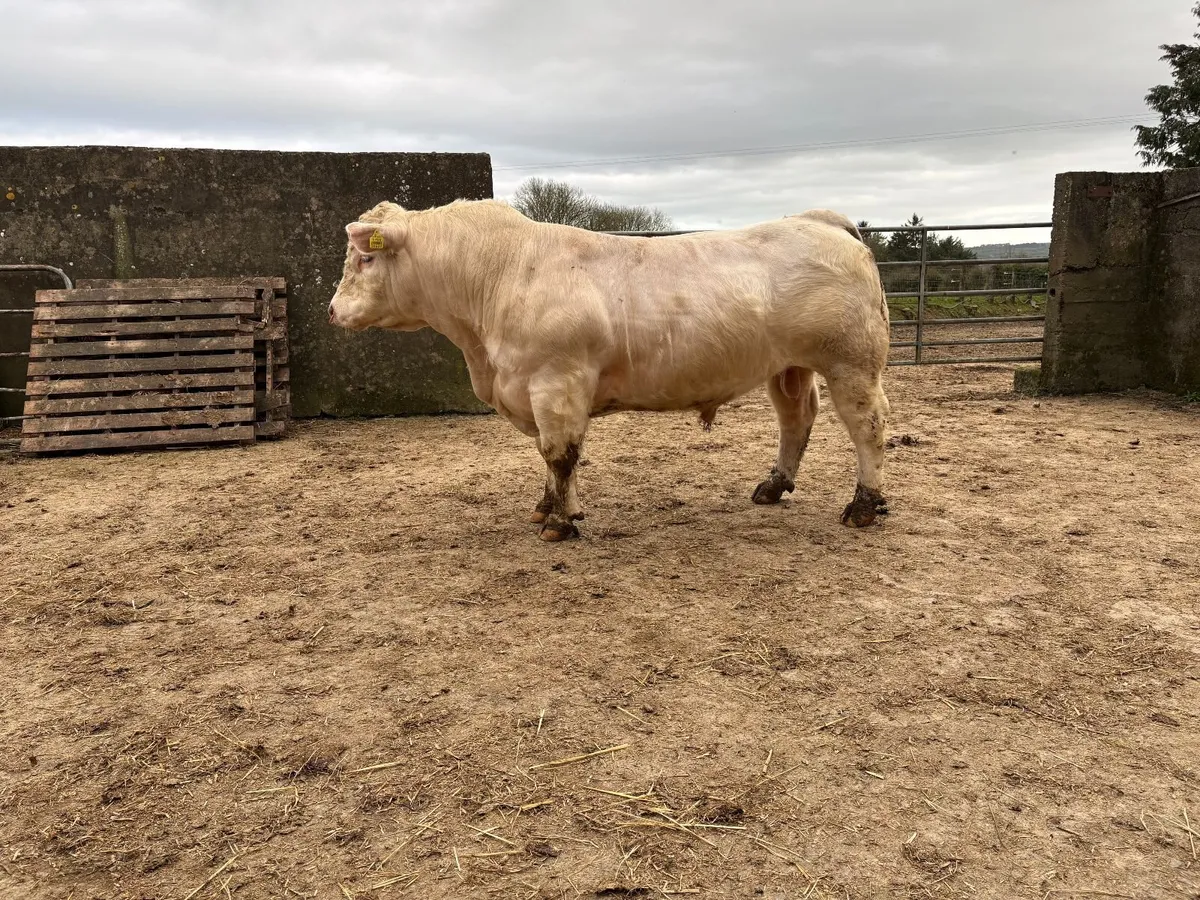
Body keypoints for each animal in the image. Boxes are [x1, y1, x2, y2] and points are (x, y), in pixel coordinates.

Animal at [327, 199, 891, 542]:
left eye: (364, 259)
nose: (332, 310)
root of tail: (818, 220)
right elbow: (550, 456)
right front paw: (547, 506)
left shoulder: (557, 383)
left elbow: (560, 454)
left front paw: (560, 522)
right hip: (789, 366)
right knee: (796, 418)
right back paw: (773, 487)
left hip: (852, 362)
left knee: (868, 426)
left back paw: (864, 505)